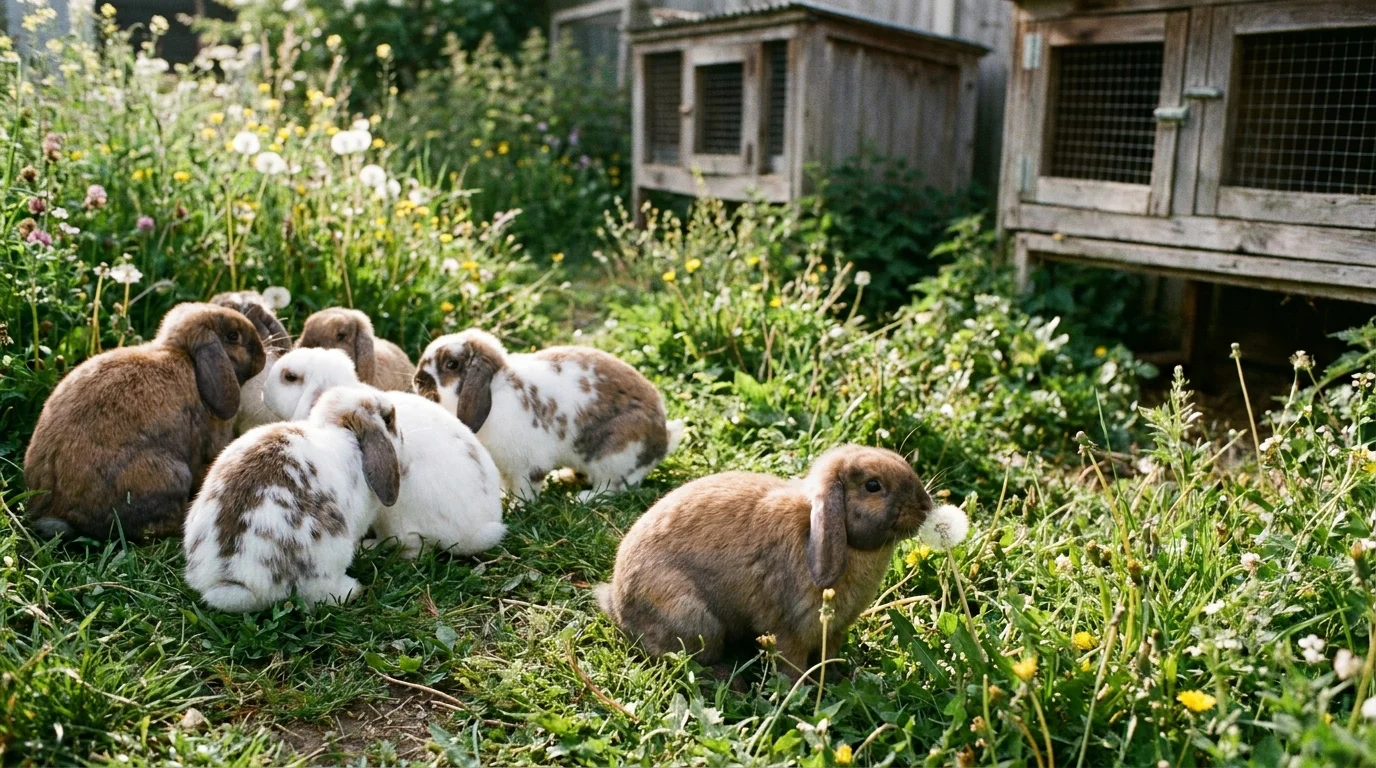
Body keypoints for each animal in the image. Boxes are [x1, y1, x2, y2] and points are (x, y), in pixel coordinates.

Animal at [414, 329, 685, 500]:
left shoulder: (528, 466)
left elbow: (526, 490)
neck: (495, 389)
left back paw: (582, 498)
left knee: (613, 487)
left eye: (451, 364)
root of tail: (662, 440)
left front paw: (517, 508)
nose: (417, 380)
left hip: (615, 456)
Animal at [593, 445, 933, 678]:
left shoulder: (834, 632)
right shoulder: (791, 632)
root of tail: (618, 605)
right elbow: (794, 667)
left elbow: (829, 658)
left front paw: (839, 679)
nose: (926, 505)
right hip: (694, 619)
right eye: (873, 486)